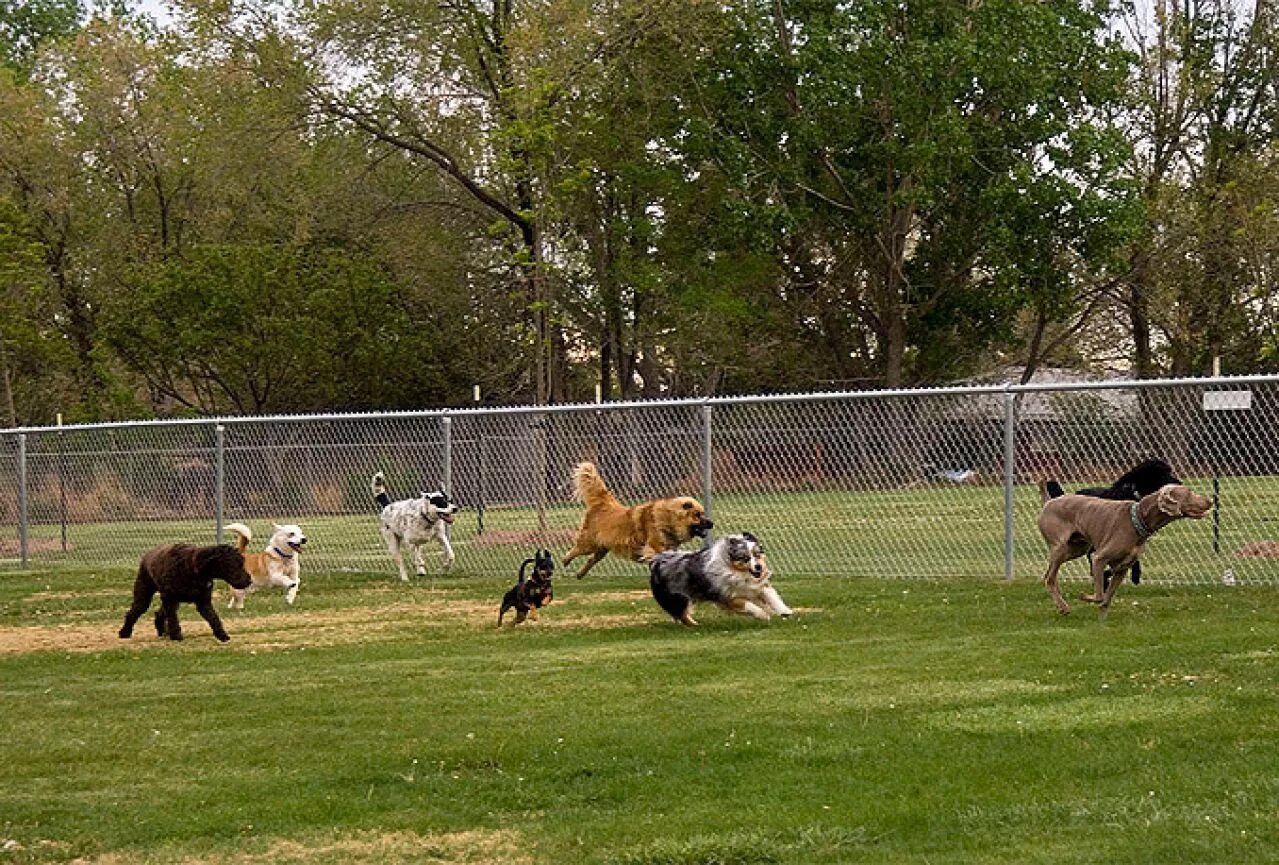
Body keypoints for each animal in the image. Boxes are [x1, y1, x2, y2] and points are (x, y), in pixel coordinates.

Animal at [118, 539, 253, 642]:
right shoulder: (171, 599)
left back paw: (162, 630)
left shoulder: (203, 602)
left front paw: (222, 635)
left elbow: (214, 618)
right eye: (234, 565)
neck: (194, 567)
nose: (249, 580)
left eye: (242, 563)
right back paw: (125, 632)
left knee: (159, 613)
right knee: (134, 612)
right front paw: (176, 636)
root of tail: (148, 554)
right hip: (145, 594)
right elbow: (173, 619)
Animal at [649, 529, 787, 624]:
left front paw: (784, 611)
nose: (759, 567)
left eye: (757, 554)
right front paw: (762, 614)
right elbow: (747, 605)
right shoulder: (726, 597)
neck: (735, 571)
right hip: (679, 598)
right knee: (682, 615)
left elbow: (772, 597)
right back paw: (695, 625)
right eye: (745, 558)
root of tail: (656, 560)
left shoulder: (756, 586)